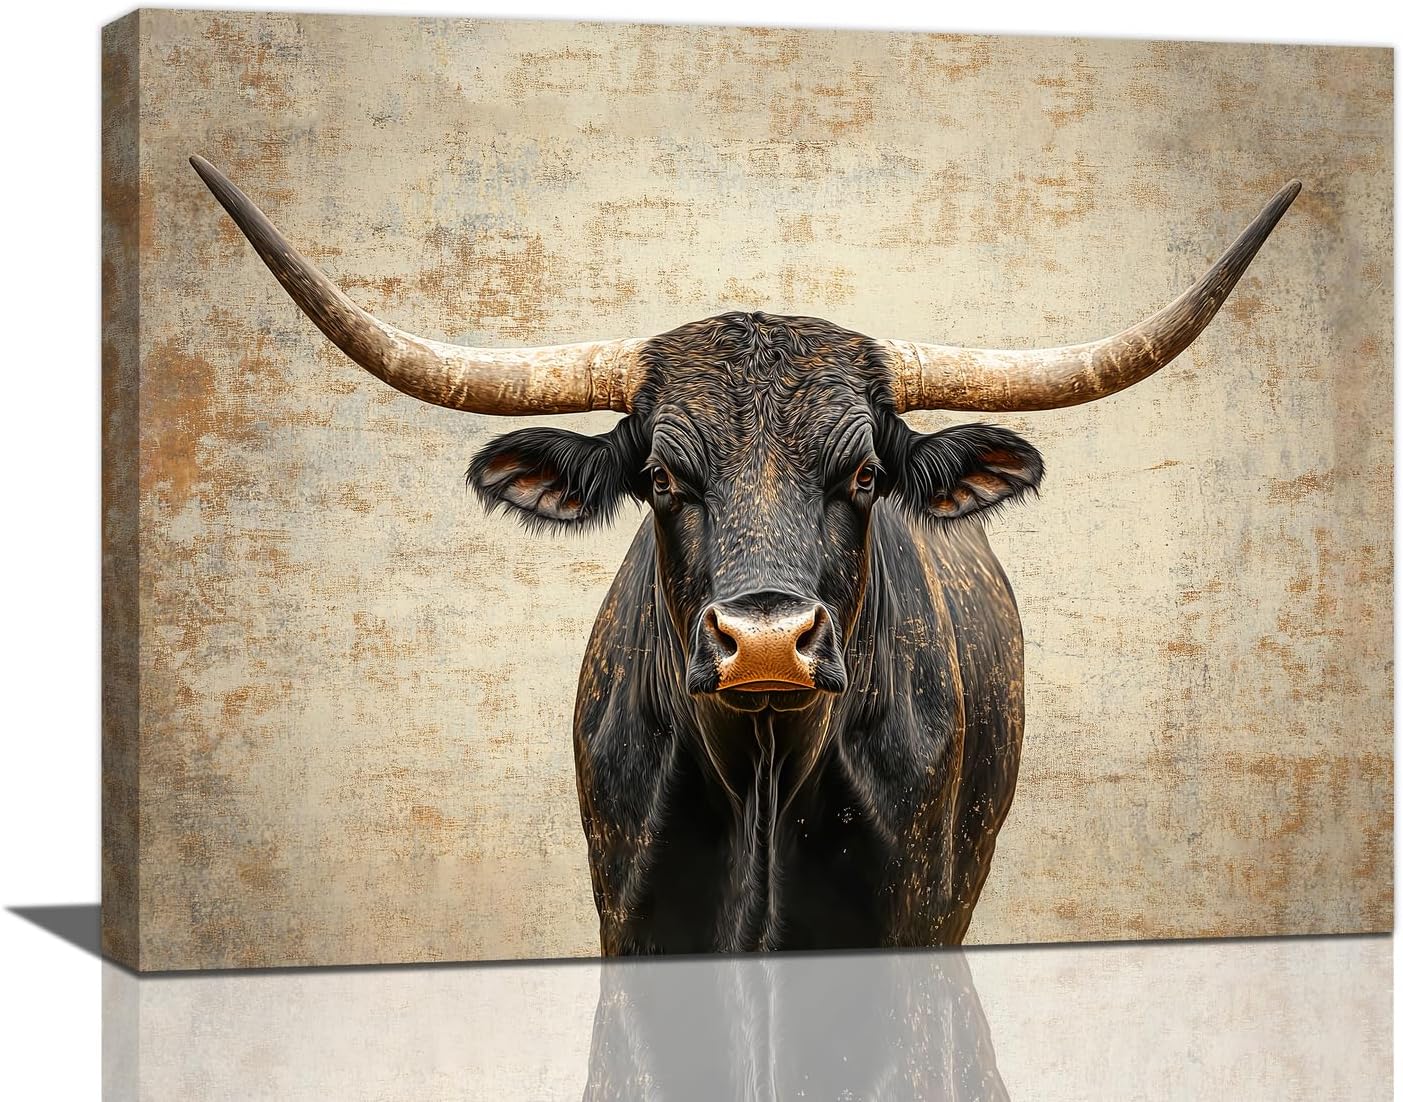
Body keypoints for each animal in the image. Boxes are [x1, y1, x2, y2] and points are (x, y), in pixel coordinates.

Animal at [192, 156, 1299, 954]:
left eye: (864, 476)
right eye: (661, 479)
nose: (764, 644)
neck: (763, 783)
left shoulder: (909, 920)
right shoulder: (630, 920)